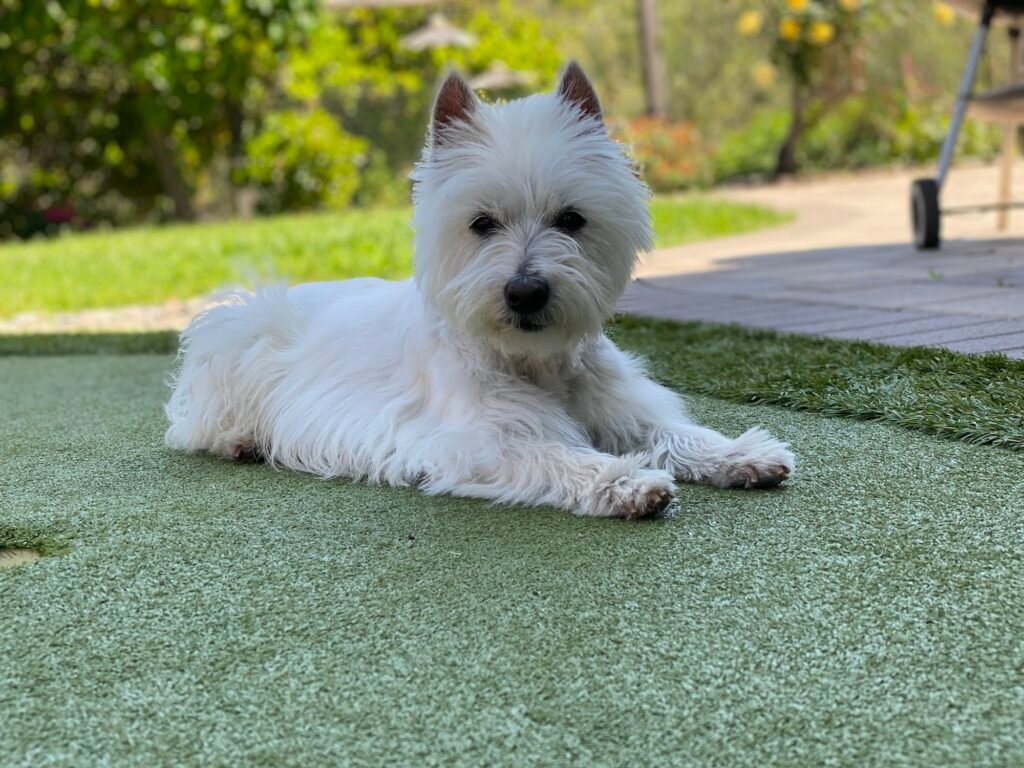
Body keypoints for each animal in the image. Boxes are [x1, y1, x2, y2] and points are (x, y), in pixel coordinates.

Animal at [165, 64, 790, 524]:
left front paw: (745, 454)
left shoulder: (623, 408)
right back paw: (243, 439)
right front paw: (627, 481)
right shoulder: (478, 441)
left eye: (572, 219)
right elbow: (557, 453)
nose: (526, 292)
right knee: (195, 422)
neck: (535, 361)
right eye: (482, 223)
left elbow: (676, 432)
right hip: (239, 335)